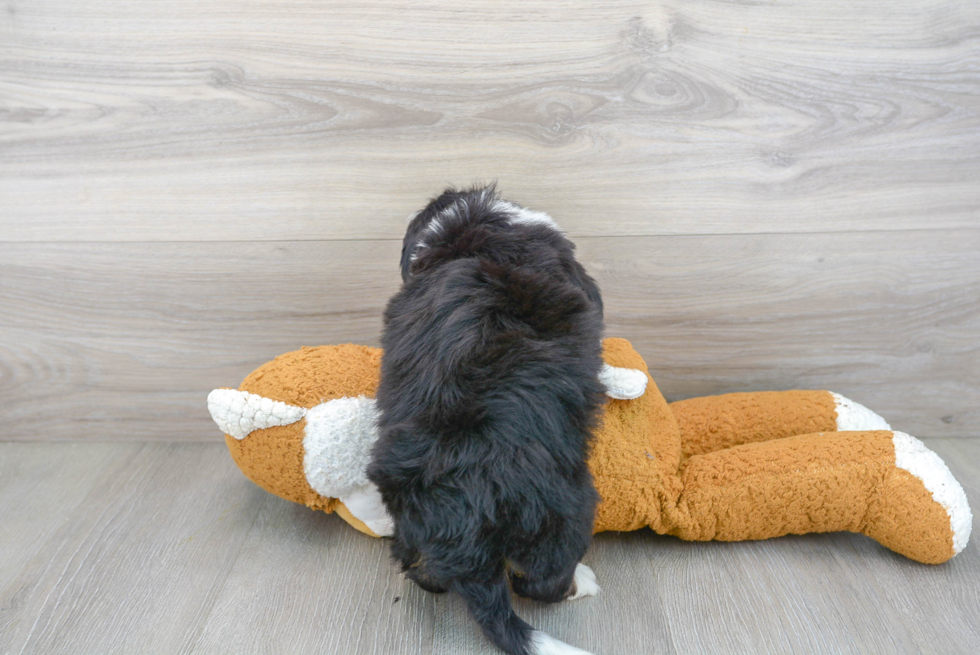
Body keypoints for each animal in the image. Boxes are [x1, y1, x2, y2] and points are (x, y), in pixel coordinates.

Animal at [368, 184, 604, 655]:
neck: (477, 235)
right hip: (568, 508)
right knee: (540, 582)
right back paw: (580, 582)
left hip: (405, 508)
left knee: (422, 572)